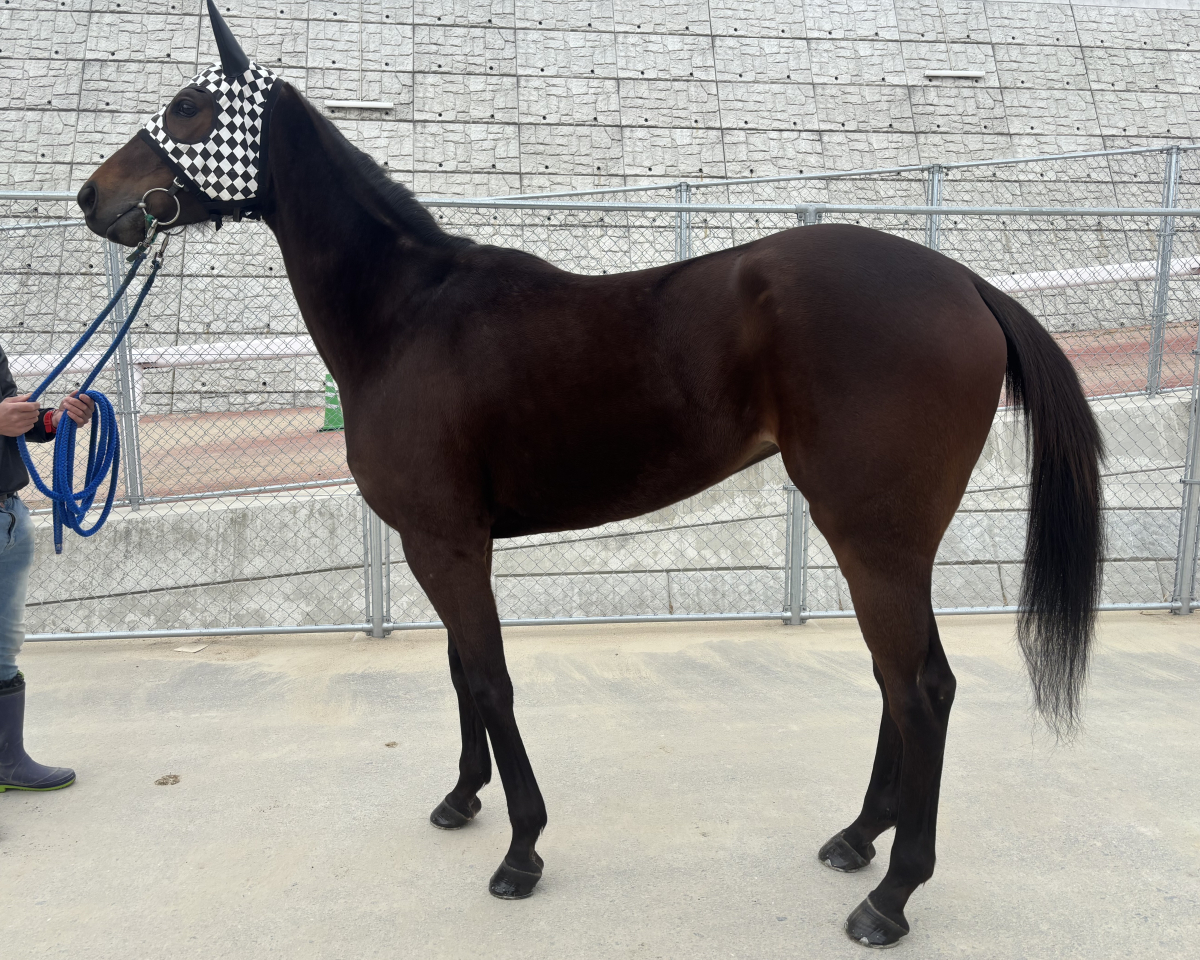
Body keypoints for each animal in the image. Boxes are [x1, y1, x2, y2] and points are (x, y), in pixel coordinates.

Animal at [75, 5, 1103, 947]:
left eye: (192, 105)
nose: (92, 195)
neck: (409, 315)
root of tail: (963, 283)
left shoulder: (446, 544)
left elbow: (491, 682)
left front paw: (521, 849)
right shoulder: (444, 545)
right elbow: (460, 673)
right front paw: (462, 799)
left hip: (874, 538)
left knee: (918, 689)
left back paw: (890, 896)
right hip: (882, 544)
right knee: (905, 682)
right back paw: (858, 839)